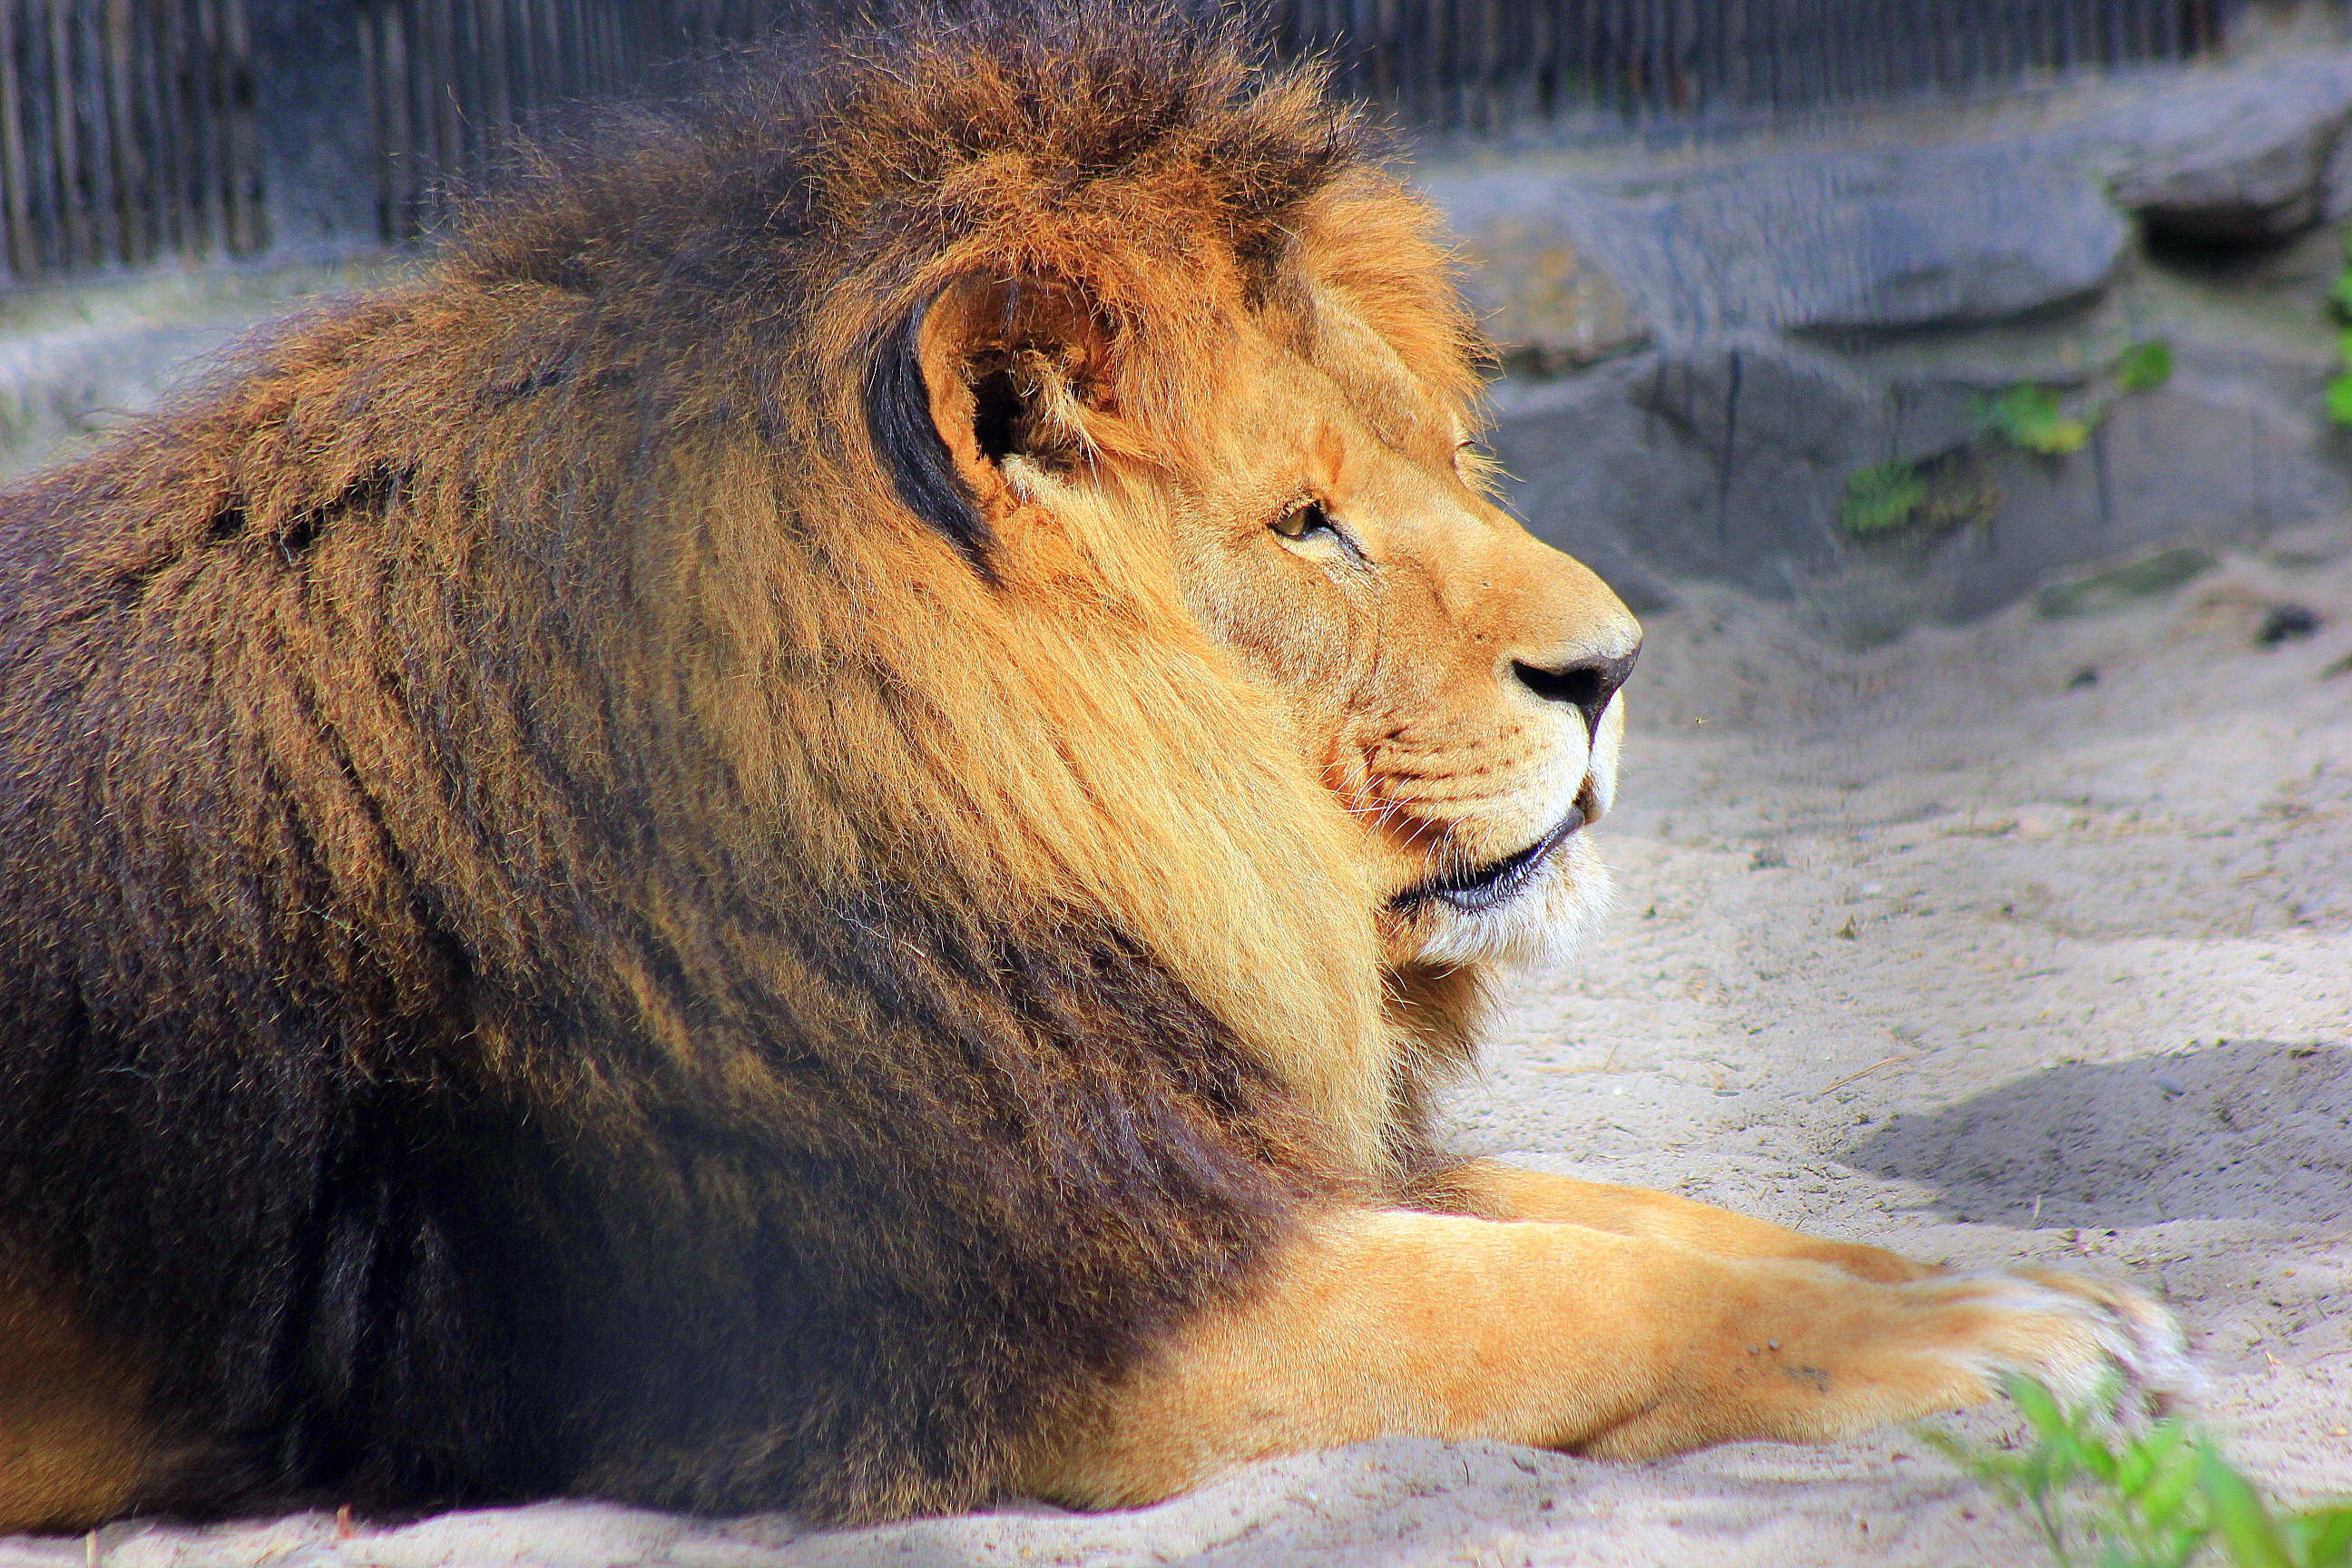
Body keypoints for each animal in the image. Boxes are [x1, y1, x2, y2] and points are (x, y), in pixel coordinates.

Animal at [0, 0, 2182, 1542]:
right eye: (1308, 525)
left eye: (1427, 463)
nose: (1616, 665)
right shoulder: (1019, 1313)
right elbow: (1550, 1302)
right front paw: (1990, 1340)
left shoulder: (1155, 1123)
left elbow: (1621, 1217)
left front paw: (2019, 1284)